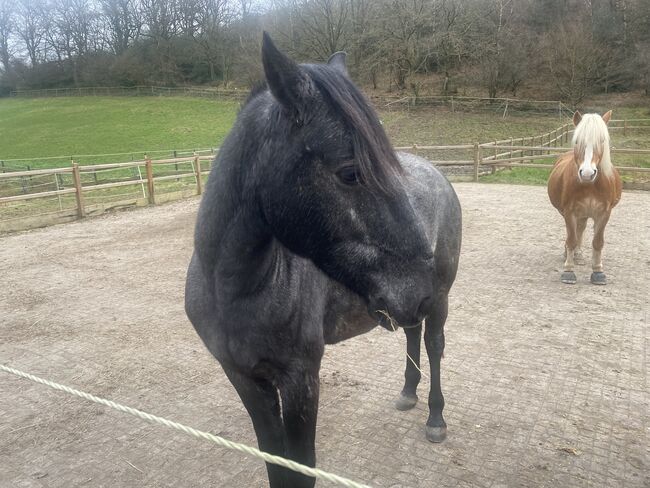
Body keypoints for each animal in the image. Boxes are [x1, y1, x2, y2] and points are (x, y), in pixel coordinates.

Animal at [184, 32, 460, 486]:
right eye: (350, 172)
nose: (419, 290)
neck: (234, 290)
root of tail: (438, 173)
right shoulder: (245, 379)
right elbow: (275, 463)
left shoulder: (301, 380)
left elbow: (301, 468)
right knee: (412, 334)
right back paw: (407, 393)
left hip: (441, 299)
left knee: (434, 345)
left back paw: (435, 418)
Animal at [548, 111, 620, 284]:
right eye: (577, 141)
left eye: (602, 140)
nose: (587, 173)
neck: (590, 185)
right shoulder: (569, 212)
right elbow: (571, 239)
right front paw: (568, 270)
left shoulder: (604, 213)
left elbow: (598, 242)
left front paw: (598, 271)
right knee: (575, 232)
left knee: (581, 229)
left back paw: (578, 255)